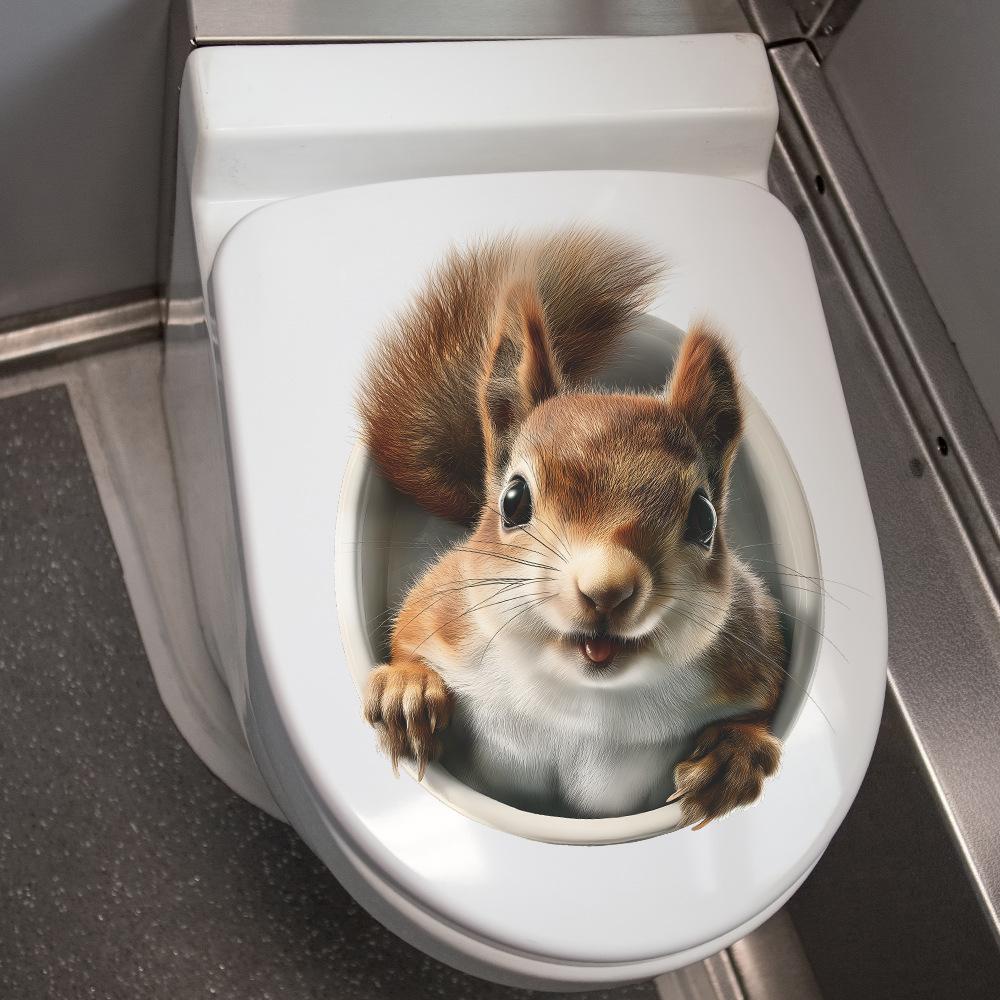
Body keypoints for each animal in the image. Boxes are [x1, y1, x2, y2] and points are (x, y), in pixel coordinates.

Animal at [357, 228, 784, 829]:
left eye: (704, 517)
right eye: (513, 500)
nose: (607, 589)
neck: (583, 701)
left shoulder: (749, 651)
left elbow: (766, 706)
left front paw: (735, 754)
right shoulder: (445, 613)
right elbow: (405, 641)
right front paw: (406, 691)